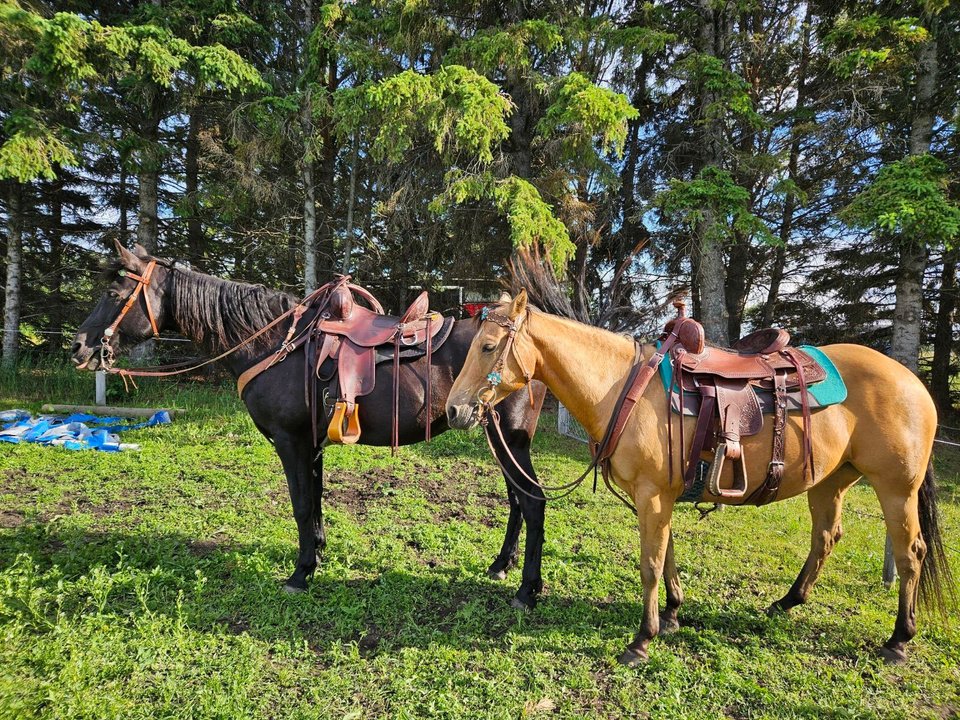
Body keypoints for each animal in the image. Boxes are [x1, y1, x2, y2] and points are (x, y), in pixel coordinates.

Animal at [71, 242, 550, 609]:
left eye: (114, 291)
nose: (78, 346)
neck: (274, 343)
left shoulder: (291, 442)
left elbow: (301, 505)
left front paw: (301, 574)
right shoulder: (312, 444)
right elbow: (315, 502)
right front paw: (316, 553)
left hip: (509, 439)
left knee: (532, 502)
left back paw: (527, 589)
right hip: (499, 440)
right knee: (516, 501)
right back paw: (501, 566)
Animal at [445, 290, 954, 665]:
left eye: (487, 347)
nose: (453, 410)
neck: (624, 389)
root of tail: (913, 382)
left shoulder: (652, 495)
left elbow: (650, 563)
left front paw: (642, 639)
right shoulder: (658, 496)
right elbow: (667, 554)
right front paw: (671, 614)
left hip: (896, 487)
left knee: (911, 553)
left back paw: (898, 640)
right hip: (831, 480)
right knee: (826, 537)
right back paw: (786, 602)